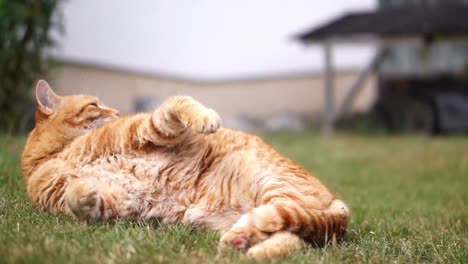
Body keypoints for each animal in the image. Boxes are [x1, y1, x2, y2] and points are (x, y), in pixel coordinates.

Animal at [22, 79, 352, 258]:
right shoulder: (114, 202)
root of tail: (339, 204)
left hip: (274, 188)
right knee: (294, 237)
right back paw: (249, 245)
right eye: (94, 104)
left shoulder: (147, 130)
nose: (116, 111)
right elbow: (79, 200)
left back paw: (248, 241)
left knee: (288, 226)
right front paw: (81, 190)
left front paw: (206, 119)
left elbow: (175, 103)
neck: (56, 155)